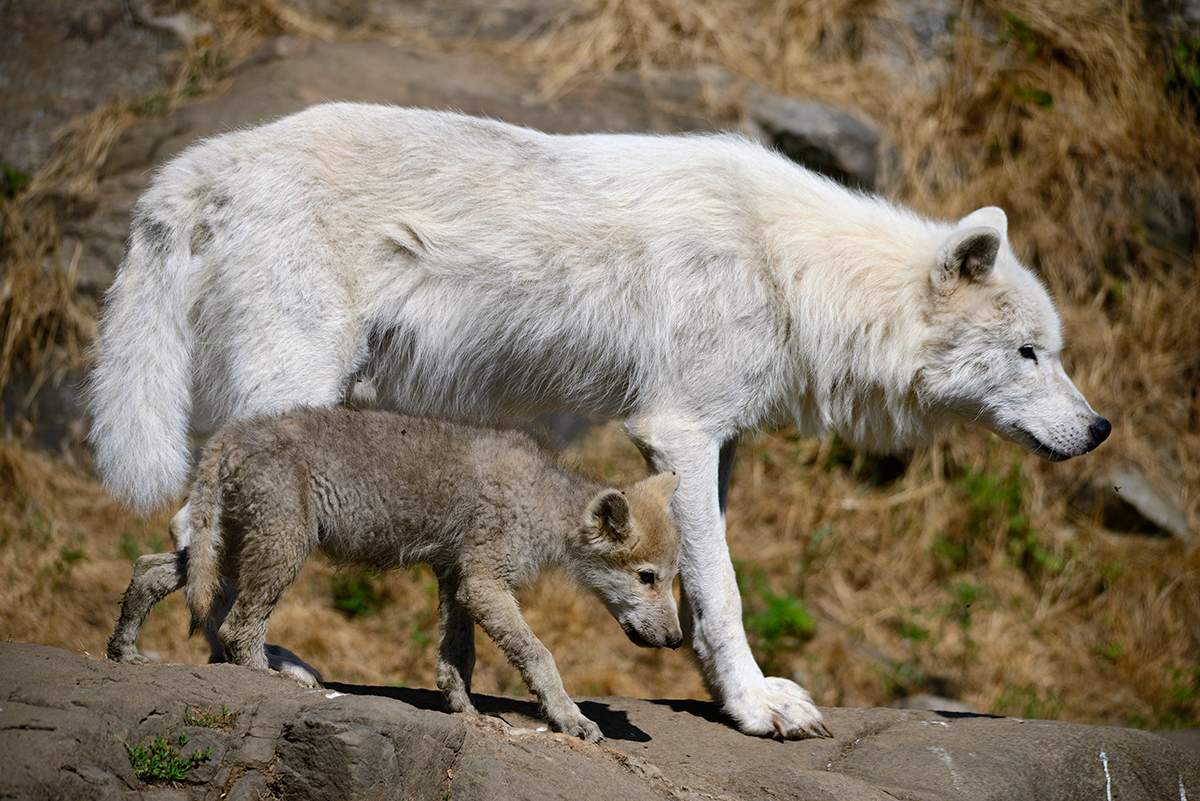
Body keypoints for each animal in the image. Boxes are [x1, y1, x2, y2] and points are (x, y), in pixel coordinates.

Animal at [106, 407, 683, 741]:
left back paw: (124, 653)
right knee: (236, 628)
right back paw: (276, 677)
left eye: (672, 577)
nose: (678, 641)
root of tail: (228, 436)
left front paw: (467, 715)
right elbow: (541, 656)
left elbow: (457, 660)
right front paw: (571, 719)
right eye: (647, 578)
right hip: (282, 550)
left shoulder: (456, 580)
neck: (542, 500)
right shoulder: (484, 583)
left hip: (232, 549)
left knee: (151, 569)